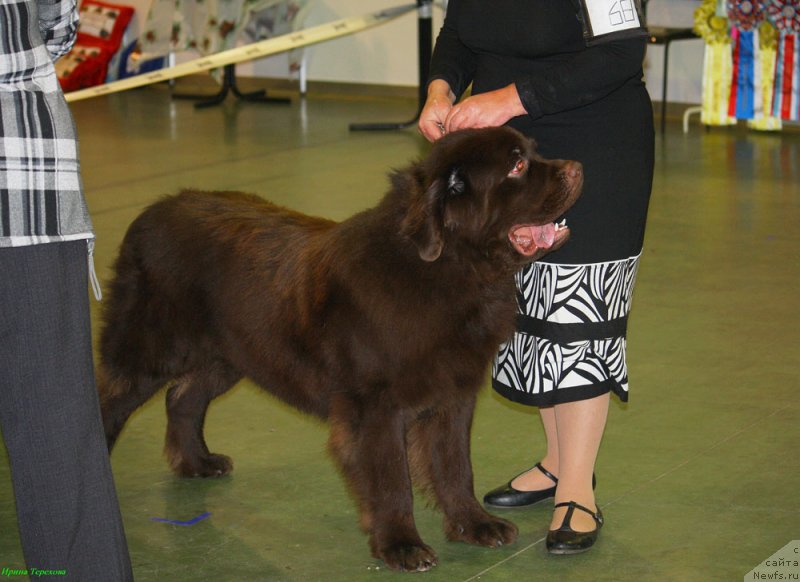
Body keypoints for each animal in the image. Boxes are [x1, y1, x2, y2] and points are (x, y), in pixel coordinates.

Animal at [97, 128, 580, 576]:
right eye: (517, 166)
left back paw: (198, 462)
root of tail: (152, 210)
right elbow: (392, 478)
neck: (450, 271)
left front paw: (474, 524)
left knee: (184, 398)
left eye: (532, 152)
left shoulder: (454, 394)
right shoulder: (376, 406)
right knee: (109, 401)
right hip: (149, 350)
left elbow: (455, 465)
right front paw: (401, 546)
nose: (577, 169)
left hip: (230, 353)